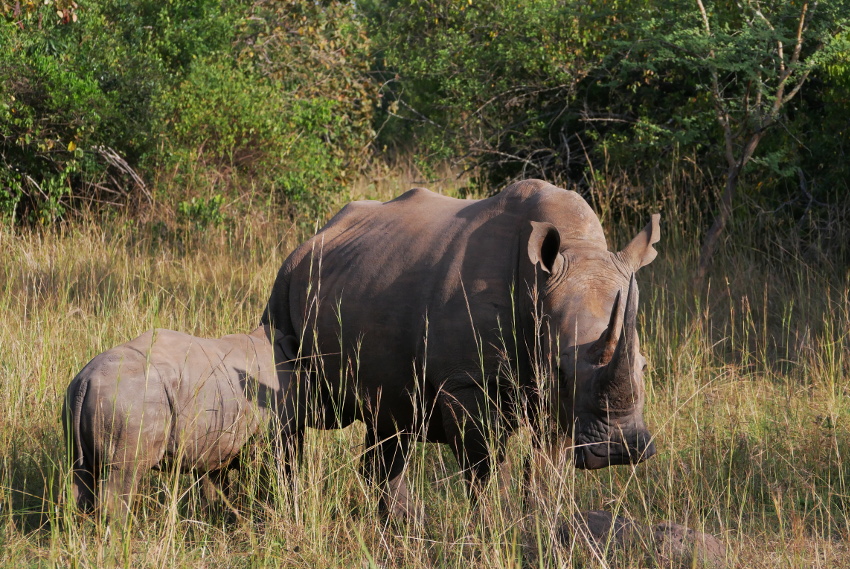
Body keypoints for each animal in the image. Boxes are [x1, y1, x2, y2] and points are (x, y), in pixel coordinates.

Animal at [62, 324, 288, 520]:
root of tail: (87, 380)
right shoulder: (265, 439)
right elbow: (265, 478)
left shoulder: (215, 442)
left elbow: (213, 485)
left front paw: (214, 522)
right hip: (130, 400)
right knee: (124, 473)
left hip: (76, 398)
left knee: (79, 474)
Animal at [262, 180, 660, 516]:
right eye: (562, 370)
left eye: (643, 366)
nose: (619, 451)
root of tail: (314, 237)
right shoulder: (468, 380)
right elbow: (485, 467)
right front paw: (496, 526)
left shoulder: (558, 398)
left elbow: (548, 466)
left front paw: (539, 525)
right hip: (283, 285)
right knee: (286, 412)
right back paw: (286, 512)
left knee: (388, 424)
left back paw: (402, 528)